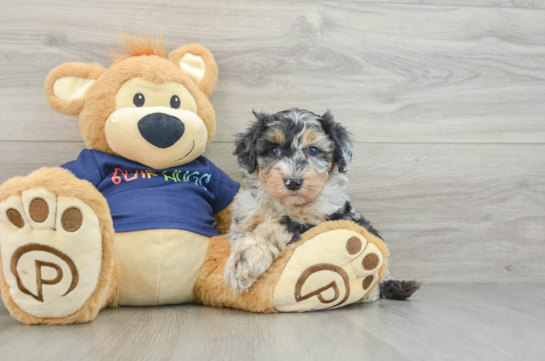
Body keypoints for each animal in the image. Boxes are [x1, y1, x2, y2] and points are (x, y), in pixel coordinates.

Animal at [223, 107, 418, 300]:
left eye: (313, 150)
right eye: (274, 150)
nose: (293, 182)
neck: (287, 204)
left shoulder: (325, 222)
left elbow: (277, 224)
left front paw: (243, 262)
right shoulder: (244, 219)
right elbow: (243, 236)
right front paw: (242, 257)